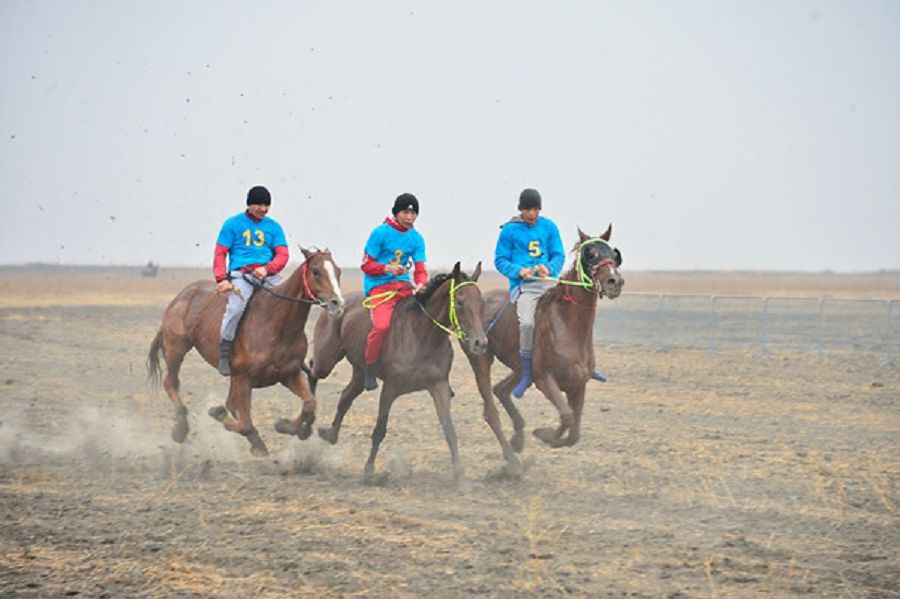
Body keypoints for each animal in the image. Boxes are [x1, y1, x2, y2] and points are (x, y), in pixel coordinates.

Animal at [148, 247, 344, 454]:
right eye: (316, 271)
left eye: (338, 271)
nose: (337, 304)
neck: (277, 325)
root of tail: (181, 296)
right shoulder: (243, 378)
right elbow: (245, 424)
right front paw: (219, 415)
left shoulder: (289, 374)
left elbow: (309, 404)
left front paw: (284, 426)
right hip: (176, 348)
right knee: (171, 383)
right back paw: (181, 428)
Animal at [312, 262, 488, 482]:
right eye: (460, 302)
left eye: (481, 302)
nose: (480, 343)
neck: (422, 336)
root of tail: (337, 304)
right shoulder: (390, 388)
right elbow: (379, 430)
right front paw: (369, 470)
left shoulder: (439, 386)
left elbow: (450, 431)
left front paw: (459, 475)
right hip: (326, 360)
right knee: (311, 372)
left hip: (360, 373)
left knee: (345, 397)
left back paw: (330, 435)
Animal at [460, 227, 624, 458]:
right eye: (590, 253)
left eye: (614, 254)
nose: (614, 281)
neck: (567, 326)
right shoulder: (545, 380)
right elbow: (566, 417)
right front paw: (543, 434)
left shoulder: (578, 386)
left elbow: (574, 434)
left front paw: (548, 436)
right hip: (481, 359)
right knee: (490, 404)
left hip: (520, 368)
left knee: (500, 389)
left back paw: (518, 438)